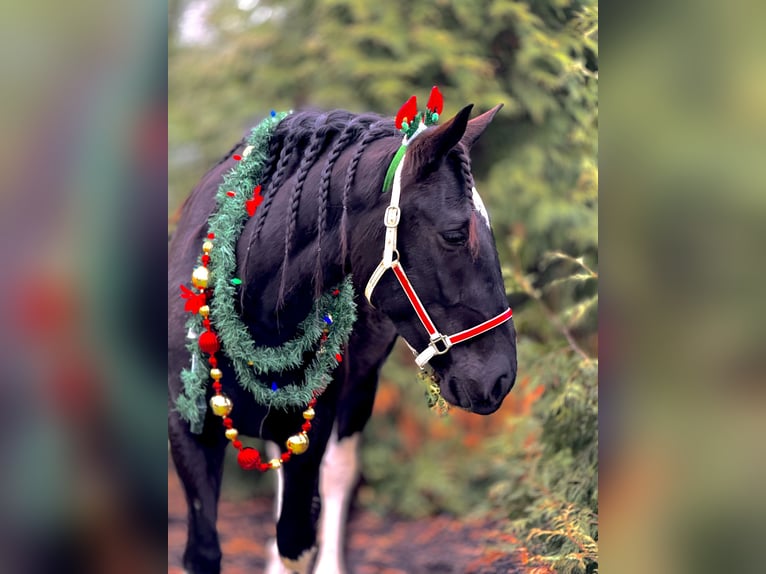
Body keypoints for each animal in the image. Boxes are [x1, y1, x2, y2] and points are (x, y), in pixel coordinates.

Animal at [168, 99, 517, 574]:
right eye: (455, 234)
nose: (501, 376)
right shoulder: (188, 431)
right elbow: (204, 551)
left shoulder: (310, 430)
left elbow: (297, 539)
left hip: (359, 391)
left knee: (337, 475)